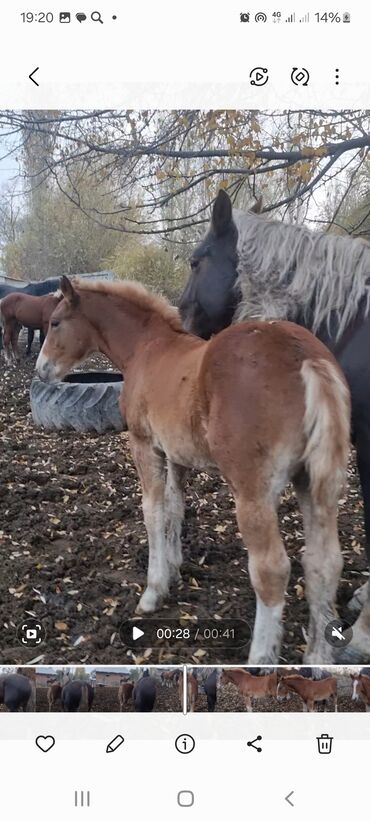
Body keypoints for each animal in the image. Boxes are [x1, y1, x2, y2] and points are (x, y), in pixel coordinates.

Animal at [35, 278, 350, 668]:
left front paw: (153, 592)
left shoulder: (144, 444)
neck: (146, 348)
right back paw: (318, 659)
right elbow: (175, 509)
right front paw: (174, 569)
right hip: (316, 485)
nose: (41, 369)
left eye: (55, 322)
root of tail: (307, 357)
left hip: (254, 492)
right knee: (325, 564)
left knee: (271, 569)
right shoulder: (176, 455)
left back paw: (259, 660)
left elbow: (153, 512)